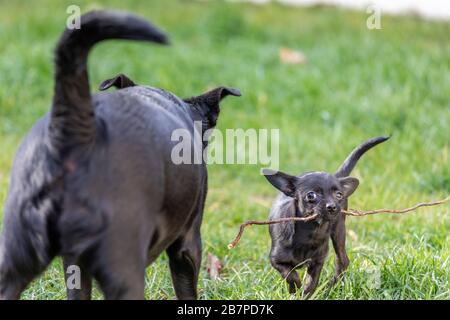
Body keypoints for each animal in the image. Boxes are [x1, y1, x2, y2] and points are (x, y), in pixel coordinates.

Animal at [262, 136, 388, 296]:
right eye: (311, 195)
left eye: (339, 195)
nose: (332, 206)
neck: (310, 232)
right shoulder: (276, 261)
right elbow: (291, 275)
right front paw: (294, 291)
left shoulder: (317, 262)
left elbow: (310, 284)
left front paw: (304, 294)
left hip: (339, 230)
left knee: (342, 260)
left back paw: (333, 287)